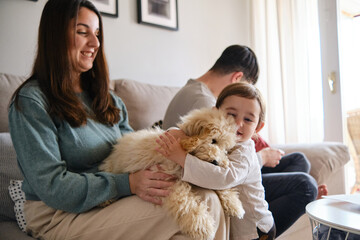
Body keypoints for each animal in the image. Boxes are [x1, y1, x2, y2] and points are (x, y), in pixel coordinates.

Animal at [98, 109, 245, 240]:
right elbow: (186, 203)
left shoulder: (197, 173)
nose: (216, 162)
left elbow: (212, 179)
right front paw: (202, 226)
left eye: (226, 150)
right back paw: (106, 199)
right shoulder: (165, 179)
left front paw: (234, 203)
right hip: (112, 166)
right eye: (213, 140)